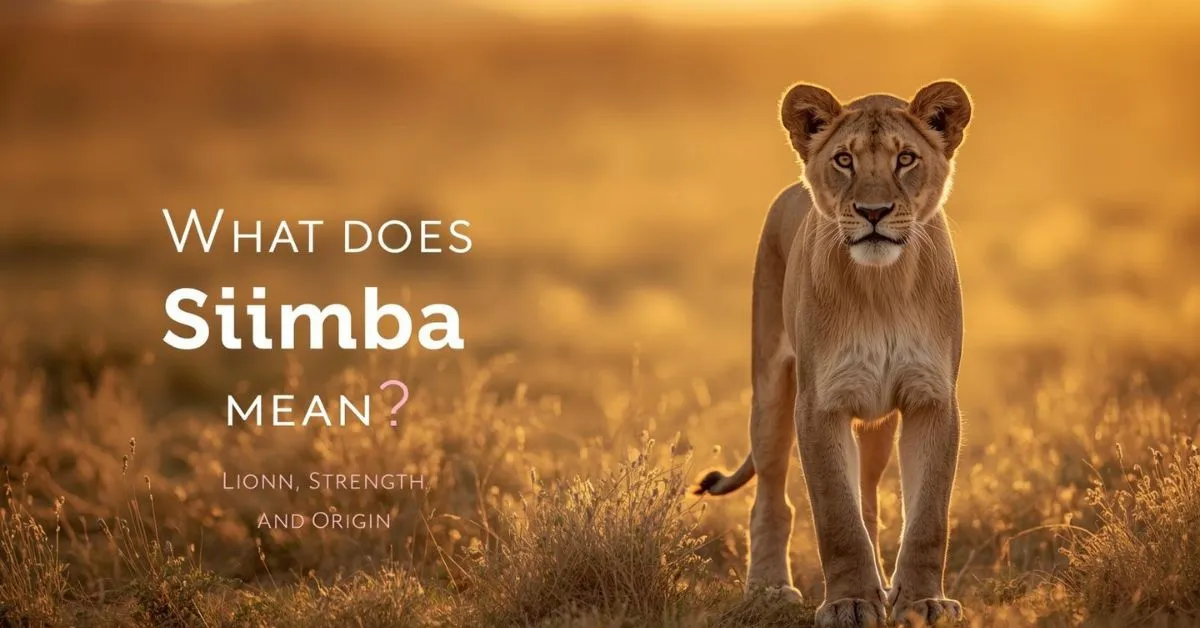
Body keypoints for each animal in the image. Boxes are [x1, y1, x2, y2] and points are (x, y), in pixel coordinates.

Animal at [694, 80, 972, 628]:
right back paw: (769, 589)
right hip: (770, 393)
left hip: (877, 428)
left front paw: (922, 602)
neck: (883, 285)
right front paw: (849, 603)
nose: (873, 212)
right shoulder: (820, 404)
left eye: (905, 158)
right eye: (844, 159)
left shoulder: (932, 399)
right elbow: (836, 518)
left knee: (869, 503)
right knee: (772, 500)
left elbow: (928, 515)